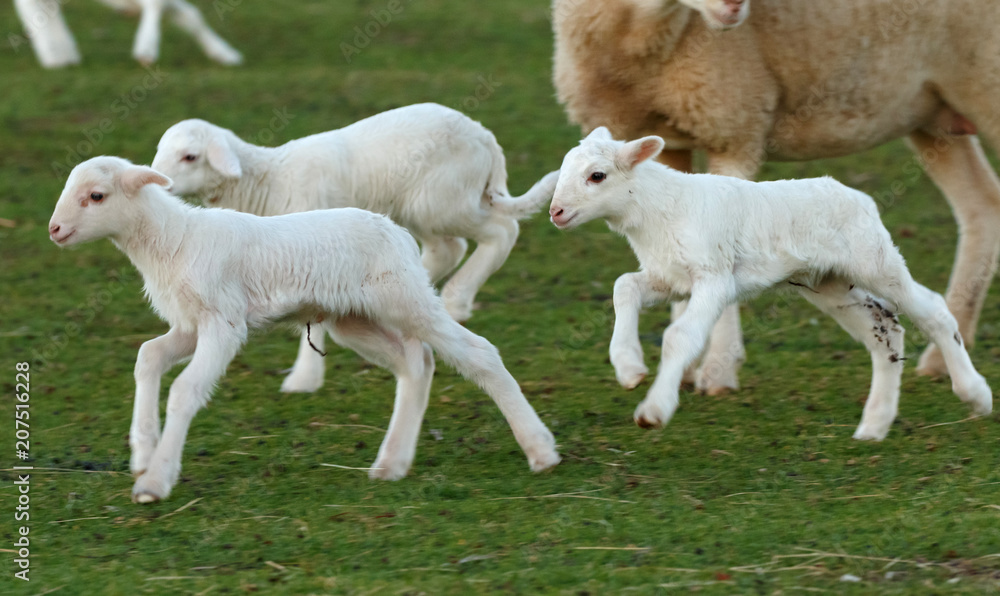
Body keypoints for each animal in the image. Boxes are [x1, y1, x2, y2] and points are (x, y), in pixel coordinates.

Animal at [47, 156, 560, 504]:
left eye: (96, 196)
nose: (54, 230)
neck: (173, 241)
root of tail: (396, 231)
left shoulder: (223, 321)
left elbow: (186, 390)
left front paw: (155, 480)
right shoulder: (191, 325)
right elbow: (149, 355)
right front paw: (142, 453)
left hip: (404, 297)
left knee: (477, 353)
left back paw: (540, 450)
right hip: (354, 318)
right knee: (417, 362)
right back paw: (391, 463)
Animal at [150, 103, 560, 393]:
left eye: (190, 156)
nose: (158, 183)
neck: (269, 182)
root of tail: (485, 136)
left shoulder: (309, 256)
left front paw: (304, 378)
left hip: (442, 200)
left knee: (500, 230)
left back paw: (457, 299)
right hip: (422, 207)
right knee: (449, 248)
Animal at [548, 128, 993, 437]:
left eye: (596, 176)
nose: (556, 212)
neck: (658, 211)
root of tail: (857, 196)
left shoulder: (715, 278)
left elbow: (679, 336)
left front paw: (654, 410)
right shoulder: (669, 278)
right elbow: (624, 286)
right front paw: (628, 366)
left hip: (873, 259)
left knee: (933, 311)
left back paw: (975, 394)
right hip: (829, 283)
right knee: (885, 330)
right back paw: (874, 426)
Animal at [553, 0, 1000, 394]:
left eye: (596, 176)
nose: (556, 212)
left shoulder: (734, 125)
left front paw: (716, 371)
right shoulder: (667, 137)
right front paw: (668, 370)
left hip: (982, 82)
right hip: (933, 113)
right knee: (982, 205)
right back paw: (943, 359)